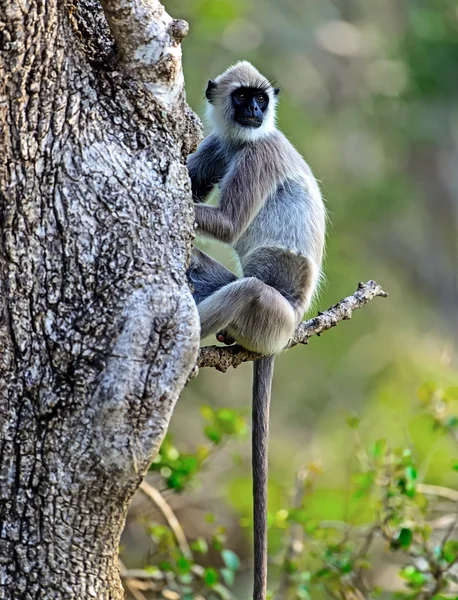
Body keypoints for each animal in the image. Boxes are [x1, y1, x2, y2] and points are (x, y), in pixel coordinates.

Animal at [186, 62, 326, 600]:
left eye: (261, 100)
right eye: (242, 98)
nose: (253, 111)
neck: (246, 138)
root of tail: (288, 334)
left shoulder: (258, 153)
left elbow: (227, 224)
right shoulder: (222, 144)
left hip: (270, 317)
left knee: (247, 288)